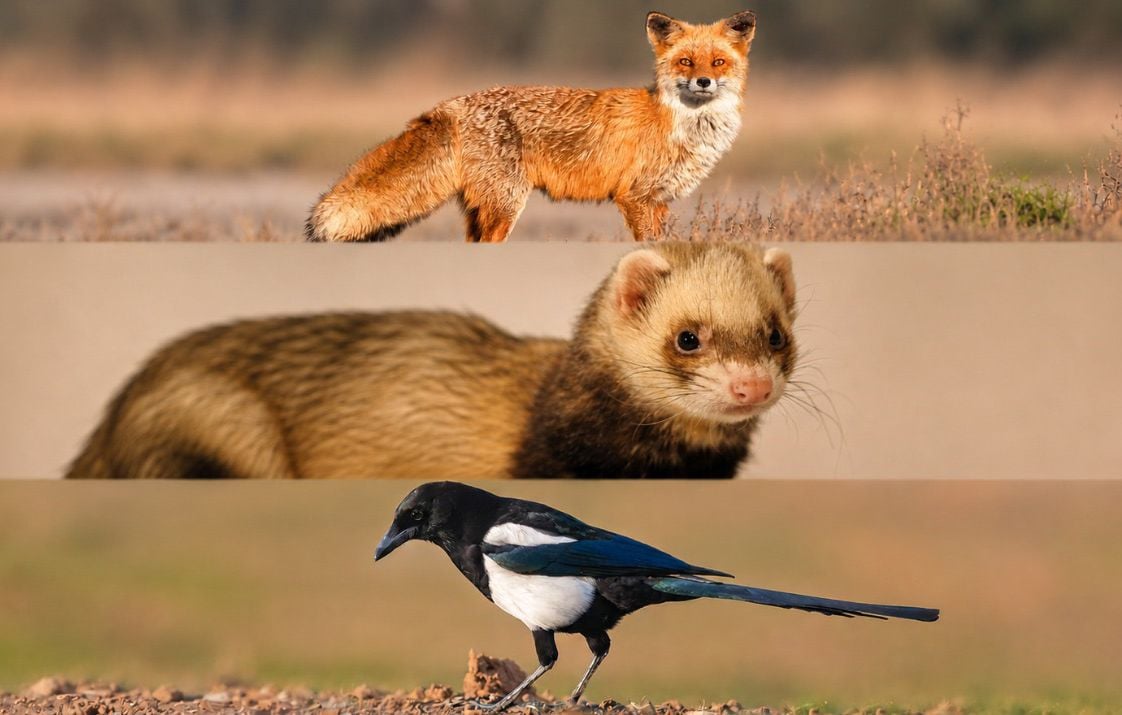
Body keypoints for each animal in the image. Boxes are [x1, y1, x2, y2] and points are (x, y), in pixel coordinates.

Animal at [306, 9, 757, 243]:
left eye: (718, 62)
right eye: (686, 62)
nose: (704, 82)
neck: (681, 127)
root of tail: (452, 103)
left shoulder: (659, 202)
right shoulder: (635, 198)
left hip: (485, 209)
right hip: (507, 205)